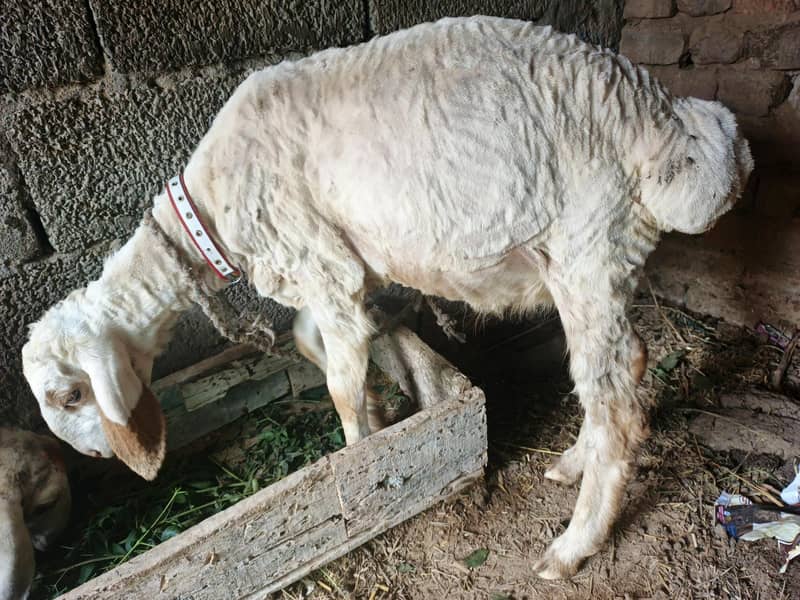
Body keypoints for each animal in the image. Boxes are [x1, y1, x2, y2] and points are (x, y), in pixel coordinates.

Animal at [21, 15, 753, 579]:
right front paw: (381, 403)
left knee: (618, 398)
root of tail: (673, 131)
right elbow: (315, 342)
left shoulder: (320, 265)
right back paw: (572, 463)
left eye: (70, 395)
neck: (209, 215)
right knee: (629, 368)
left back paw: (573, 546)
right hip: (597, 262)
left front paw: (357, 456)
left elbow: (340, 386)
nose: (94, 459)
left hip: (589, 249)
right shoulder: (331, 270)